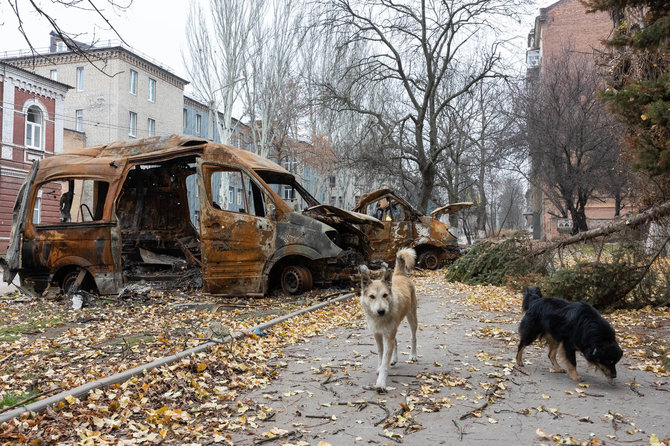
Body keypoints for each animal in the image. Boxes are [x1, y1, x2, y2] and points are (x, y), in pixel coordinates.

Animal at [360, 249, 418, 392]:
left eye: (385, 295)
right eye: (372, 296)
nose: (381, 311)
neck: (380, 319)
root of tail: (399, 274)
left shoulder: (388, 336)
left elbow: (385, 362)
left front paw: (381, 383)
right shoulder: (378, 334)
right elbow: (381, 354)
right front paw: (380, 366)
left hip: (412, 318)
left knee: (413, 337)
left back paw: (413, 355)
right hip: (393, 329)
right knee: (395, 341)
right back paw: (394, 359)